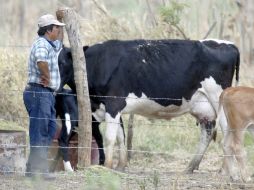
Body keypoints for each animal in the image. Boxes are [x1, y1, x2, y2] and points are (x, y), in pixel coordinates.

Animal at [58, 38, 240, 172]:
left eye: (63, 62)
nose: (54, 86)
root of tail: (229, 44)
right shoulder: (112, 109)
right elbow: (121, 137)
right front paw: (121, 166)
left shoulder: (114, 103)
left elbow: (110, 138)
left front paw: (108, 167)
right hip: (203, 107)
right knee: (207, 132)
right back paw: (190, 167)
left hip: (218, 99)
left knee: (228, 132)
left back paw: (225, 170)